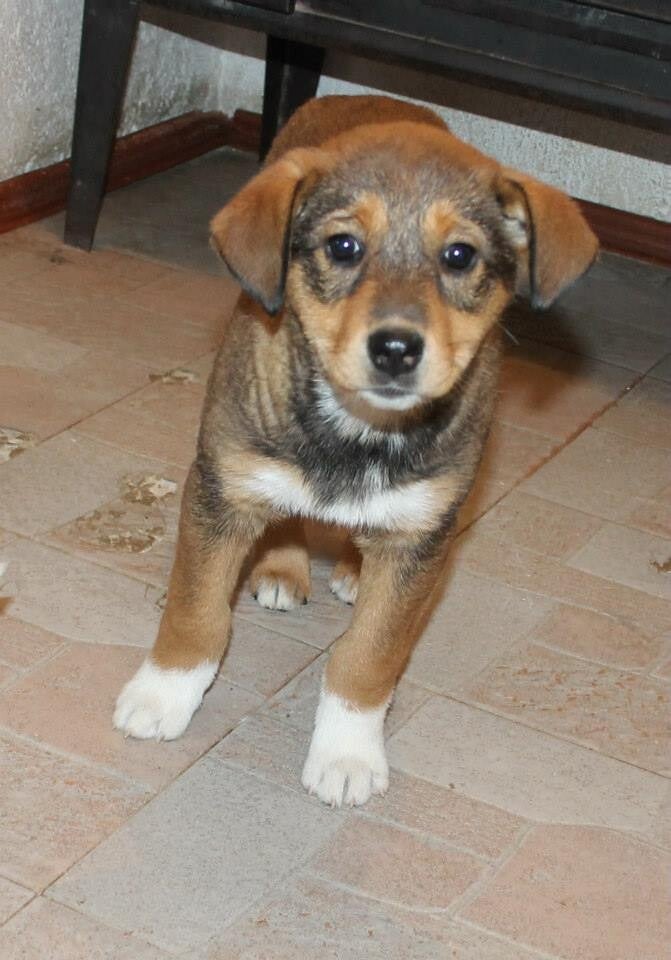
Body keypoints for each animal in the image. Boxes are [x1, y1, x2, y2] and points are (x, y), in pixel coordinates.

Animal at [114, 95, 597, 807]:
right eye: (343, 246)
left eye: (460, 255)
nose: (396, 348)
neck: (357, 432)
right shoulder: (220, 490)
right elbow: (196, 613)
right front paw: (163, 694)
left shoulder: (422, 537)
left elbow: (369, 658)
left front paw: (346, 751)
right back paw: (283, 566)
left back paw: (346, 568)